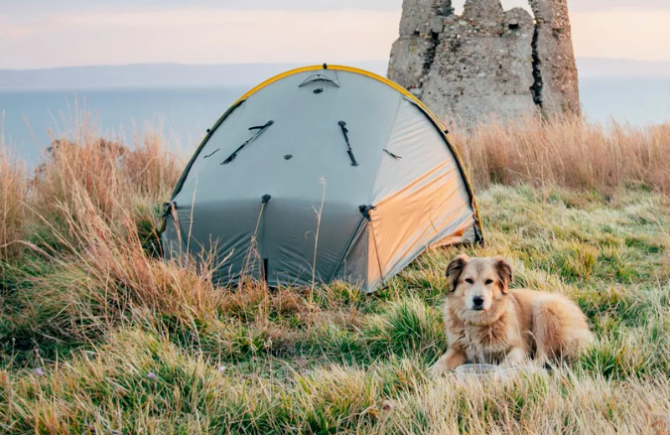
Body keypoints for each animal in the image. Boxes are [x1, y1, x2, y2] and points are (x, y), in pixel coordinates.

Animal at [430, 255, 592, 374]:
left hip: (544, 308)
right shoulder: (456, 349)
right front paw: (429, 377)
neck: (479, 321)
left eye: (489, 281)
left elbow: (504, 365)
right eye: (468, 280)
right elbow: (439, 365)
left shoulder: (520, 347)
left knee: (542, 358)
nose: (478, 300)